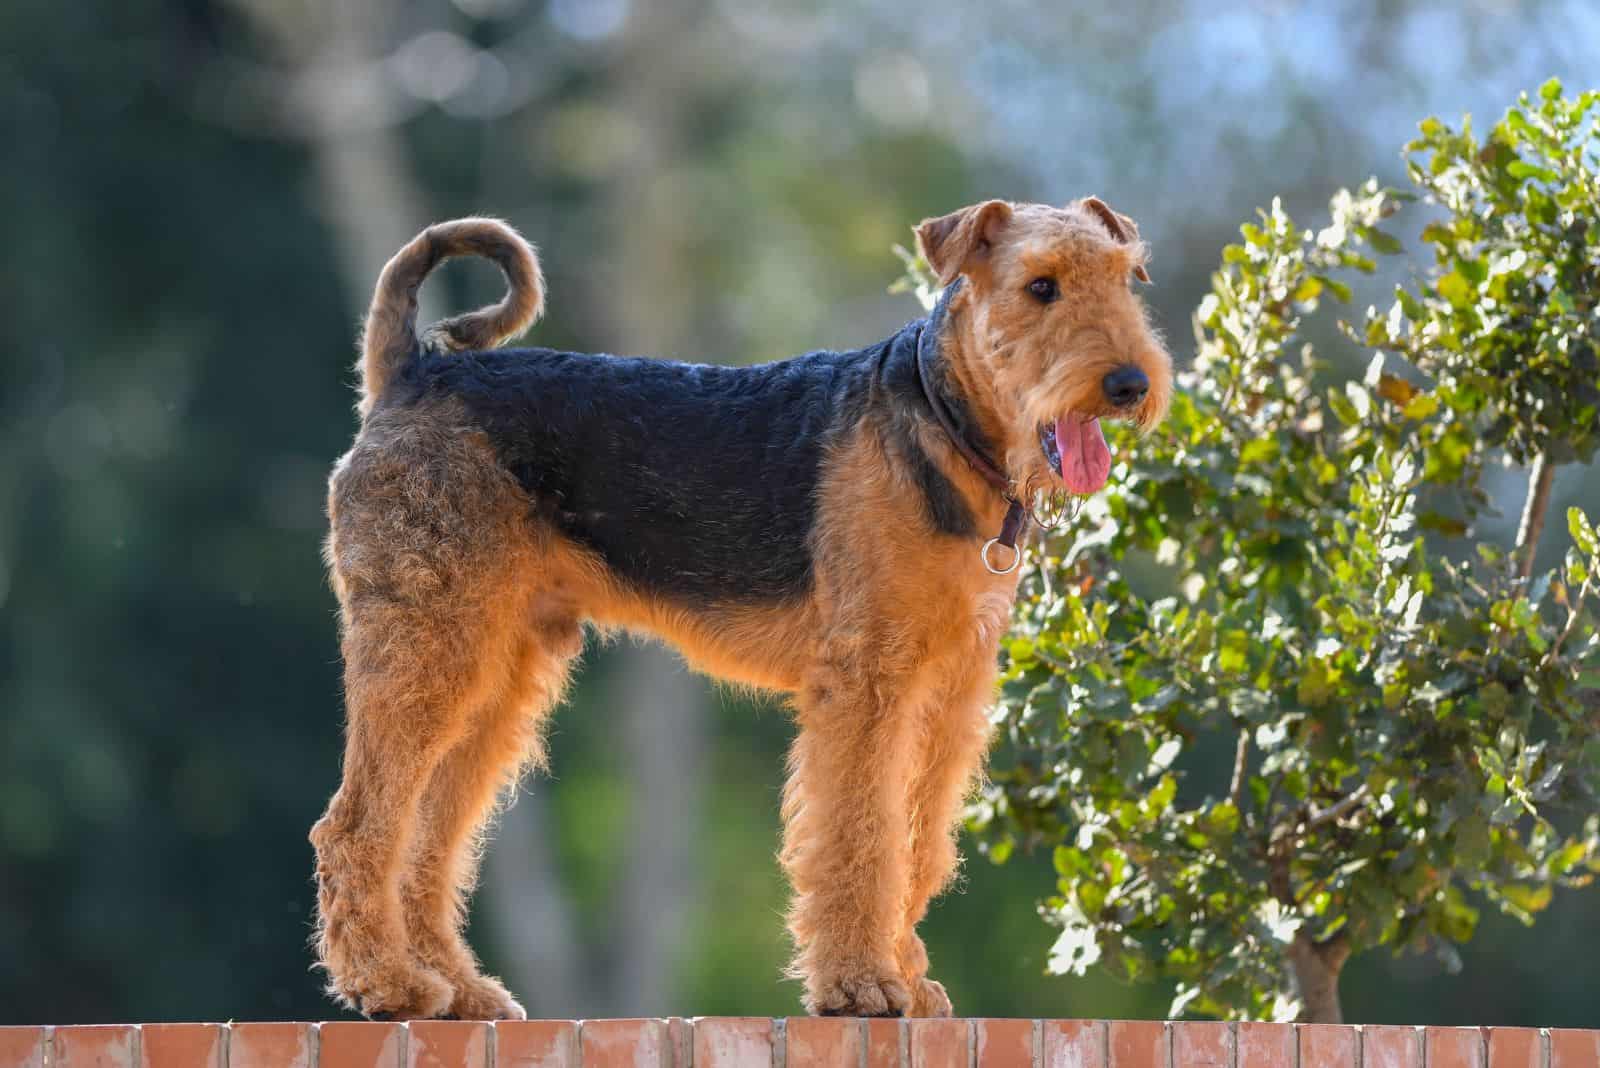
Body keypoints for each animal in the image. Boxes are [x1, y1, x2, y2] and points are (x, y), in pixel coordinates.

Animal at [308, 195, 1177, 1023]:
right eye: (1041, 286)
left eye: (1127, 277)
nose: (1130, 385)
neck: (942, 424)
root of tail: (413, 373)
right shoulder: (866, 680)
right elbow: (860, 835)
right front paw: (861, 985)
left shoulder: (950, 690)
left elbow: (917, 840)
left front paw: (908, 980)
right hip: (429, 645)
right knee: (356, 825)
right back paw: (388, 985)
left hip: (497, 669)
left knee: (429, 835)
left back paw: (457, 988)